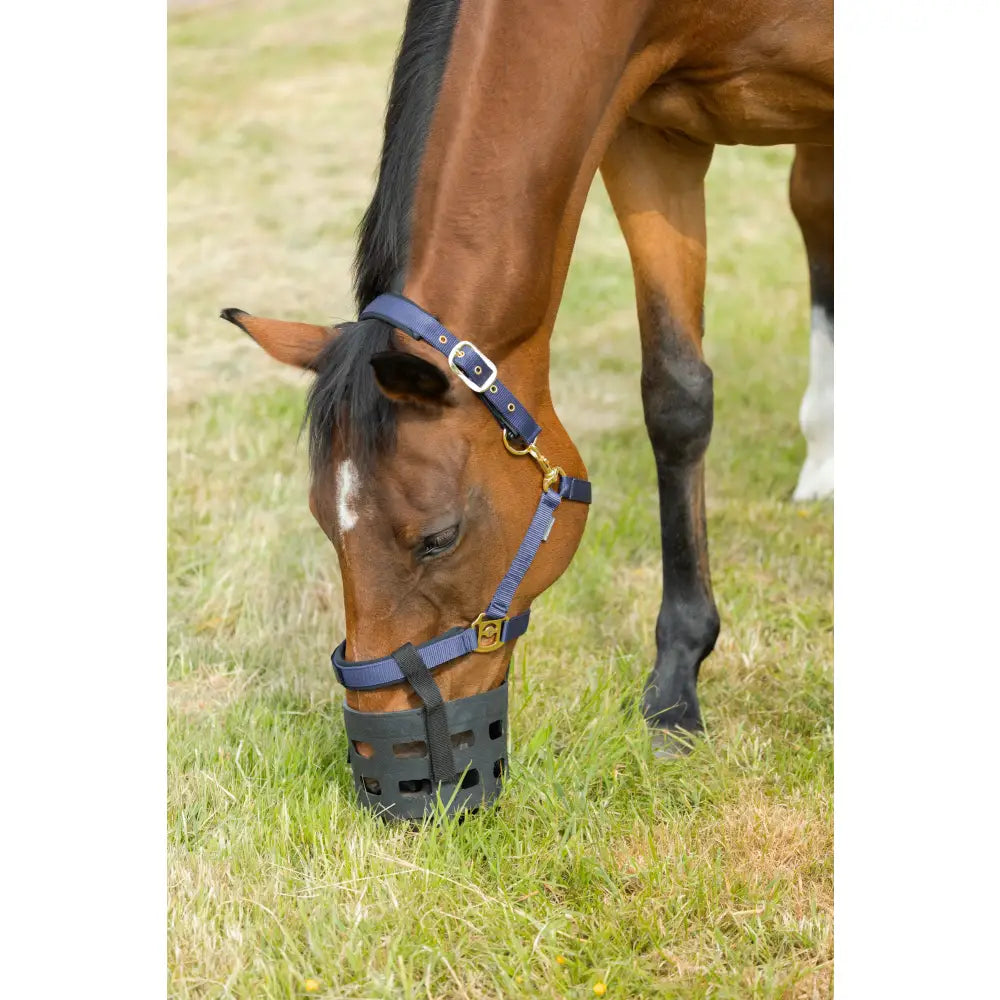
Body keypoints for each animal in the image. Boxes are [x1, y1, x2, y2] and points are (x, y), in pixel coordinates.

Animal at [221, 0, 833, 817]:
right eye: (326, 525)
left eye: (438, 539)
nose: (385, 770)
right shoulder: (651, 136)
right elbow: (676, 395)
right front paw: (677, 686)